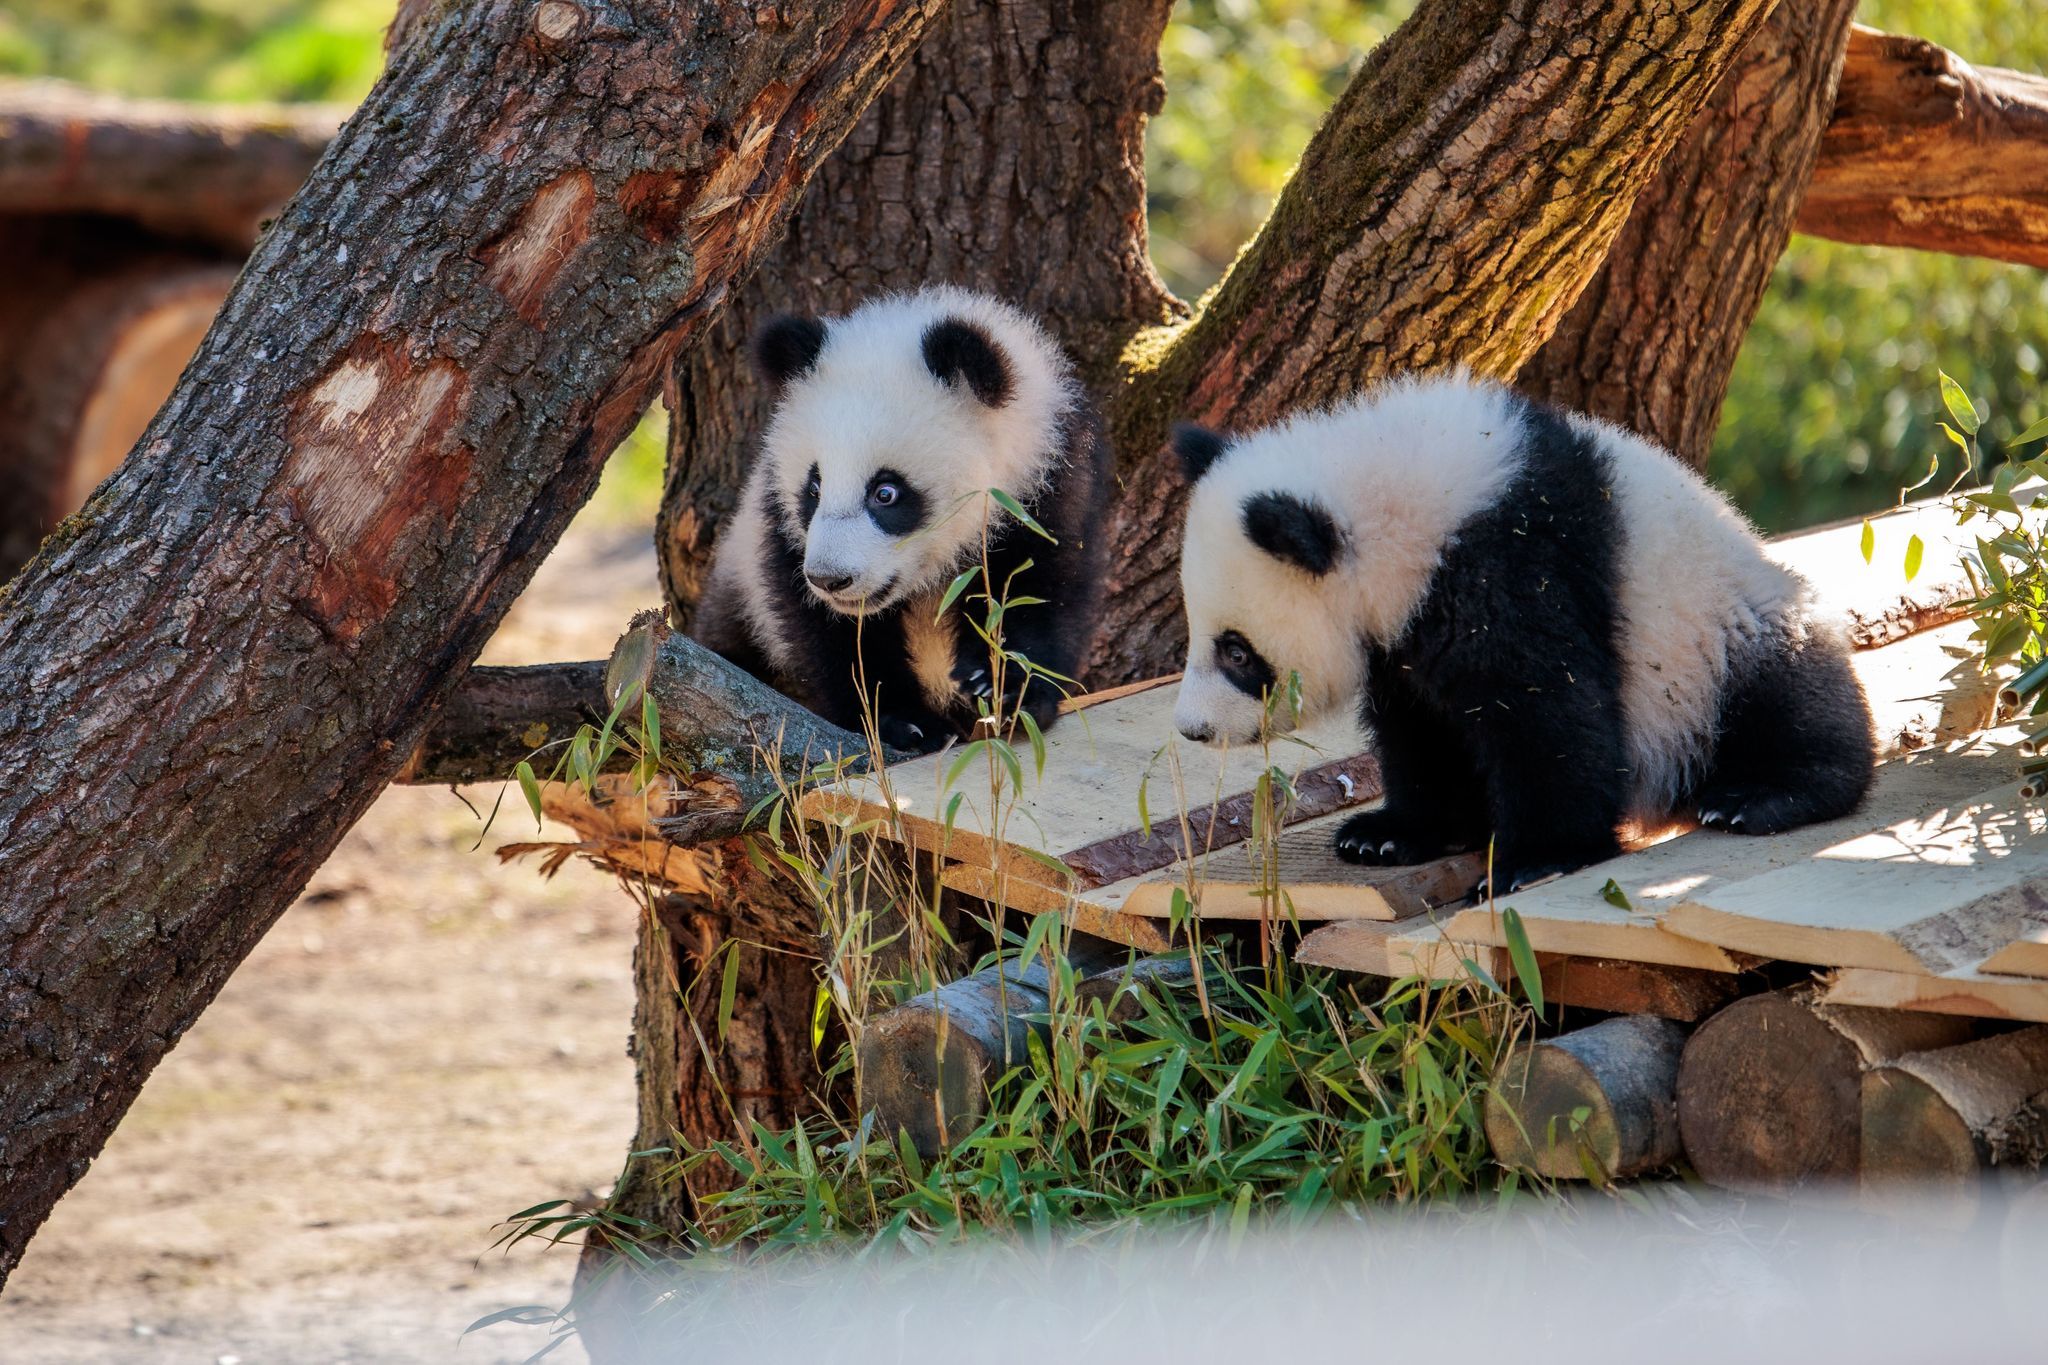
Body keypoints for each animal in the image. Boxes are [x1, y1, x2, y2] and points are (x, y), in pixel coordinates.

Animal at [693, 287, 1111, 755]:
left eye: (886, 493)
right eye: (814, 488)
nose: (830, 579)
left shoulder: (1047, 485)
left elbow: (1038, 590)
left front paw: (1002, 689)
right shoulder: (777, 527)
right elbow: (832, 636)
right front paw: (905, 721)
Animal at [1169, 373, 1876, 894]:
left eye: (1237, 652)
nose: (1193, 730)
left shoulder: (1511, 564)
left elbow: (1546, 712)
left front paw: (1536, 858)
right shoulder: (1403, 632)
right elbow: (1422, 728)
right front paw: (1390, 833)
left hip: (1717, 637)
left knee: (1785, 695)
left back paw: (1760, 795)